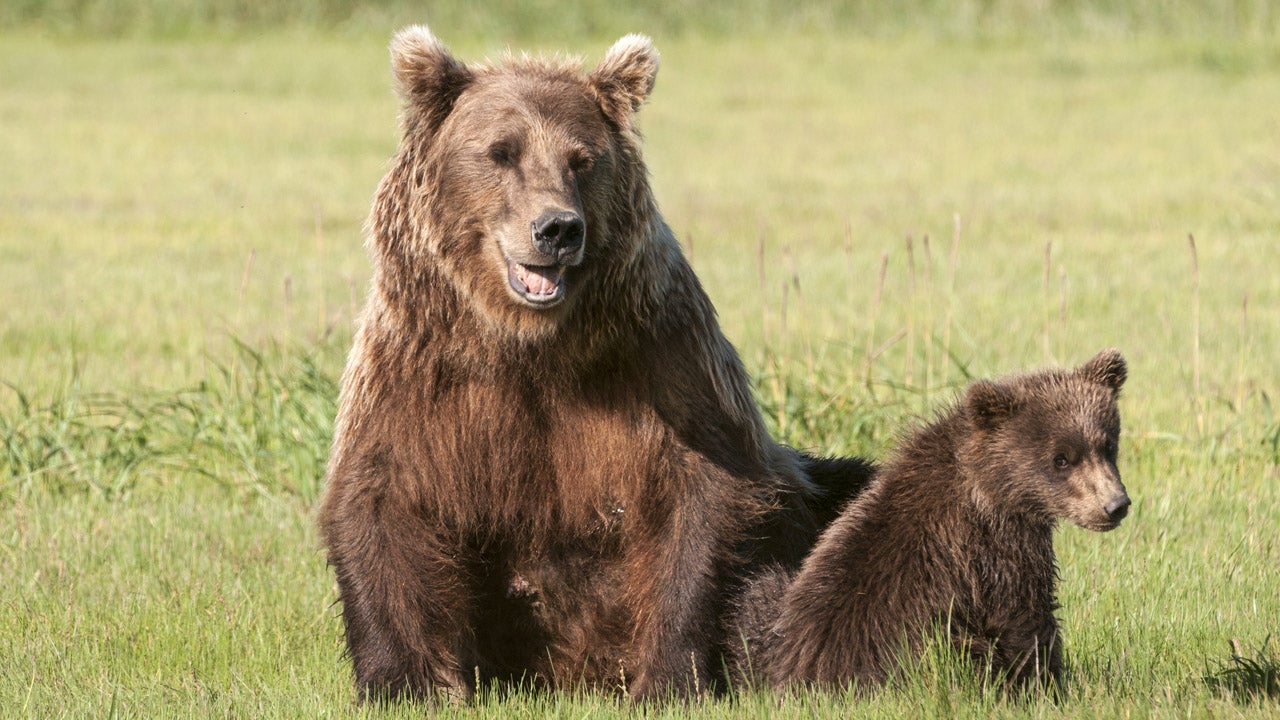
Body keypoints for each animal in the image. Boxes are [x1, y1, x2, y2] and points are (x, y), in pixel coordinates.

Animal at [317, 26, 873, 703]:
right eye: (500, 152)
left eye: (581, 159)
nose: (557, 228)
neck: (530, 344)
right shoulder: (417, 371)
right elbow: (384, 498)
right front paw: (404, 679)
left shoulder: (665, 358)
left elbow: (703, 500)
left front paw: (668, 678)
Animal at [729, 349, 1132, 693]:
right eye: (1060, 458)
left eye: (1108, 444)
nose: (1115, 505)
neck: (989, 486)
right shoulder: (993, 546)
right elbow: (1023, 614)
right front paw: (1047, 683)